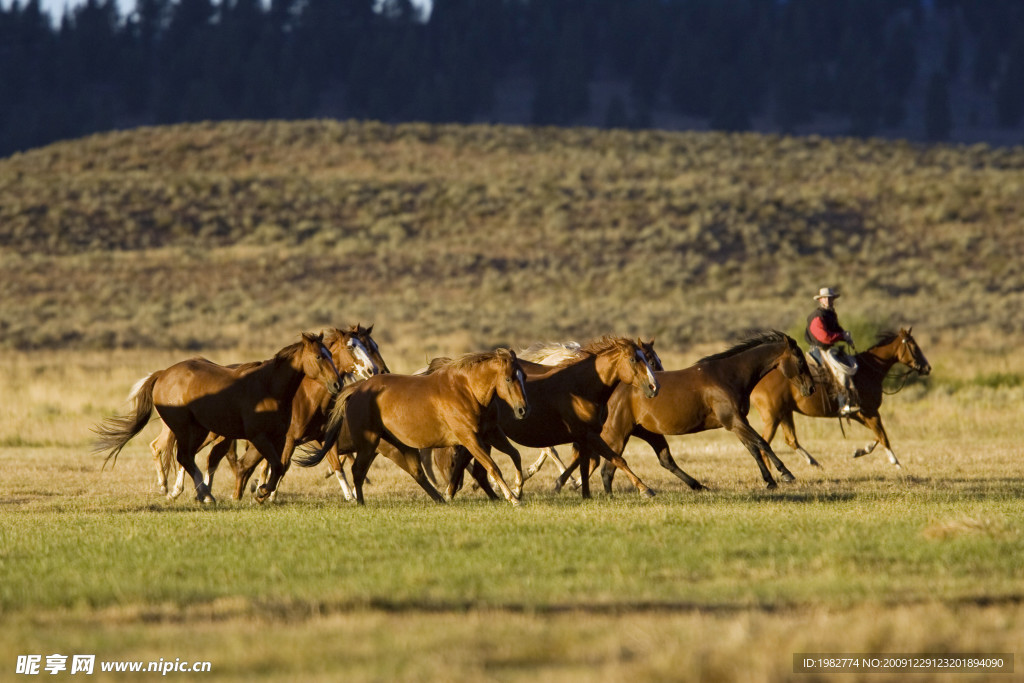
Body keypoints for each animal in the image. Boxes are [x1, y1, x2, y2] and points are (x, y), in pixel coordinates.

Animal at [96, 333, 344, 505]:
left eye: (331, 355)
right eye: (319, 356)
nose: (337, 384)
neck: (268, 387)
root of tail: (163, 374)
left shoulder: (279, 438)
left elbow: (278, 466)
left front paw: (261, 492)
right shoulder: (259, 437)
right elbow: (274, 464)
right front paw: (262, 491)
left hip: (198, 431)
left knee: (186, 458)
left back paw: (198, 493)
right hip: (186, 430)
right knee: (184, 457)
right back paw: (204, 494)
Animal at [299, 350, 532, 505]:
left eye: (524, 376)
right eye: (509, 378)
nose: (523, 410)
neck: (466, 391)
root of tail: (356, 389)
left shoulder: (491, 433)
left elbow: (515, 455)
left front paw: (518, 489)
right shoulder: (470, 438)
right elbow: (493, 466)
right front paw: (513, 498)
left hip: (396, 446)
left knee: (415, 472)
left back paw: (440, 500)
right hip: (369, 443)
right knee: (357, 470)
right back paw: (361, 502)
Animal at [436, 337, 659, 501]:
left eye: (648, 359)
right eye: (634, 359)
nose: (654, 387)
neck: (581, 387)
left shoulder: (584, 436)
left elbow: (586, 464)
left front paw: (585, 494)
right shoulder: (589, 435)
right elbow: (617, 459)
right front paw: (645, 489)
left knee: (471, 465)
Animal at [557, 329, 811, 491]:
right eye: (800, 361)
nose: (810, 388)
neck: (728, 375)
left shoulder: (736, 423)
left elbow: (753, 448)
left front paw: (770, 480)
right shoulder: (735, 421)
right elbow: (762, 443)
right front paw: (785, 474)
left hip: (646, 432)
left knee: (661, 461)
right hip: (618, 434)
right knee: (606, 468)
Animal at [749, 327, 933, 471]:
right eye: (913, 347)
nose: (927, 367)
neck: (868, 370)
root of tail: (756, 383)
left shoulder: (861, 414)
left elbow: (878, 435)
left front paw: (860, 451)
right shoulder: (870, 412)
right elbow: (883, 436)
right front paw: (896, 463)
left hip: (785, 413)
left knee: (790, 440)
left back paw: (813, 463)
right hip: (773, 417)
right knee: (764, 443)